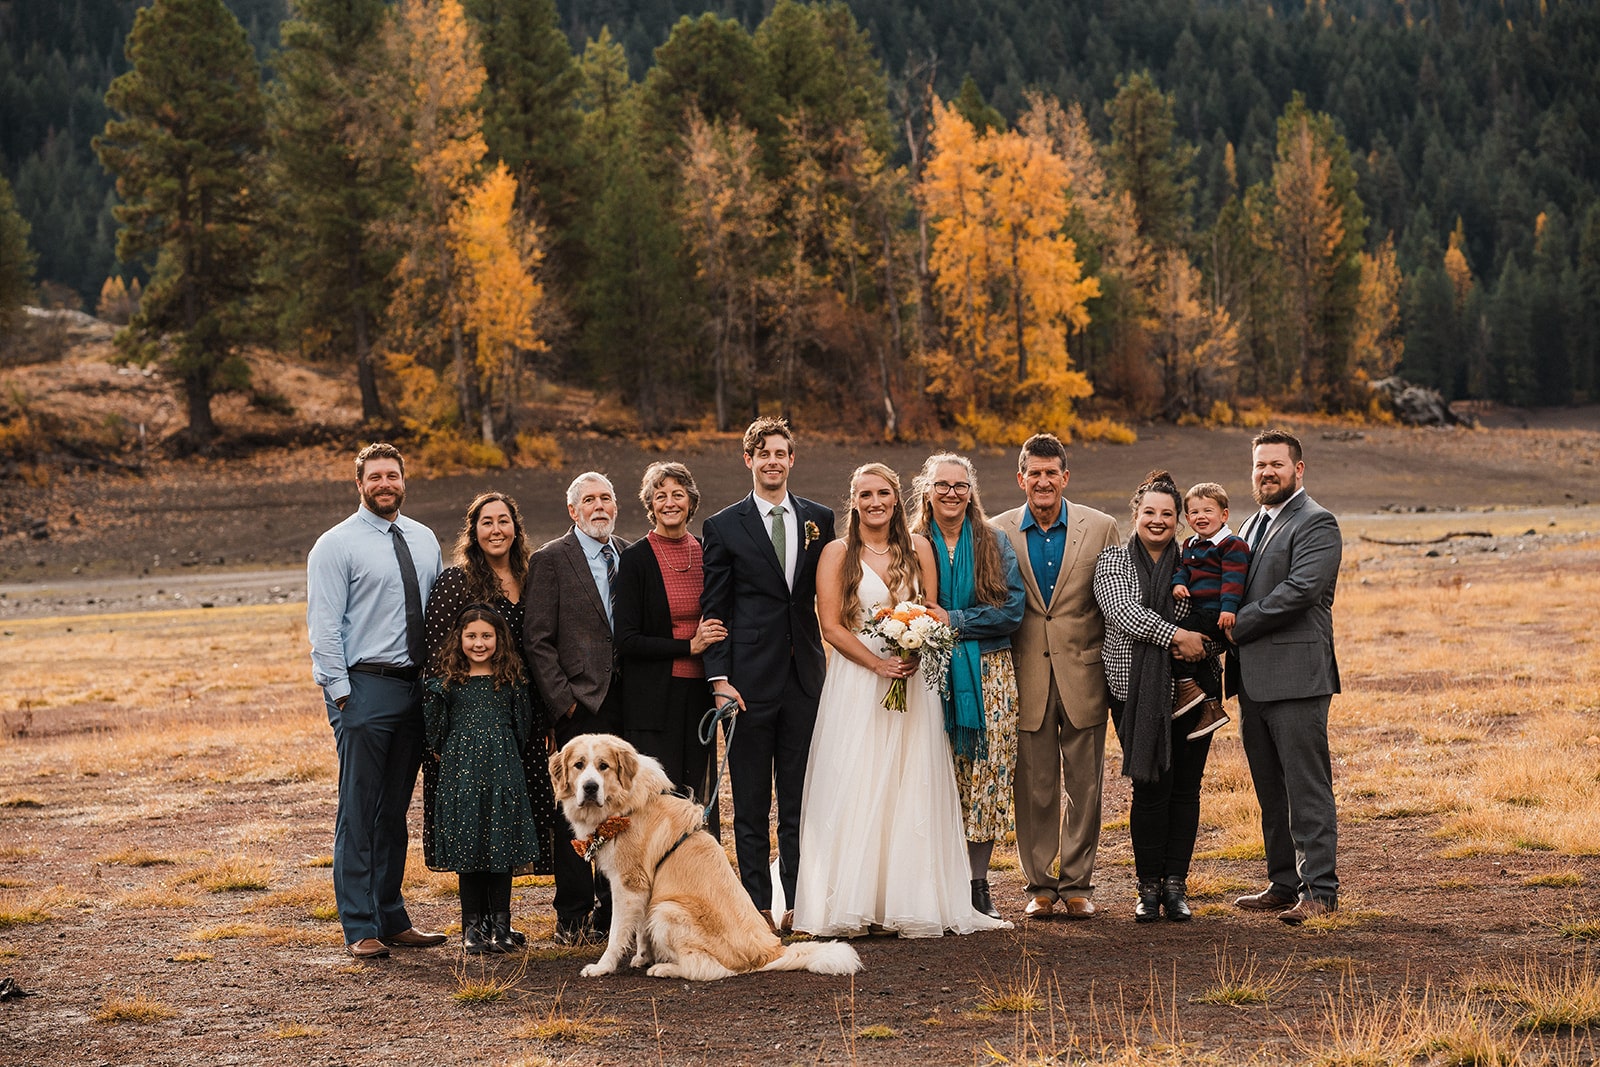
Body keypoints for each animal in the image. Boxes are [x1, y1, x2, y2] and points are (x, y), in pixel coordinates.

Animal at [550, 739, 864, 979]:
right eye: (579, 765)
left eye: (603, 766)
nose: (590, 787)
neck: (628, 806)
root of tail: (769, 952)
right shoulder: (644, 885)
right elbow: (640, 929)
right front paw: (642, 956)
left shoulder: (628, 884)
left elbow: (617, 934)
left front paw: (602, 967)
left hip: (666, 909)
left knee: (707, 969)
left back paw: (665, 969)